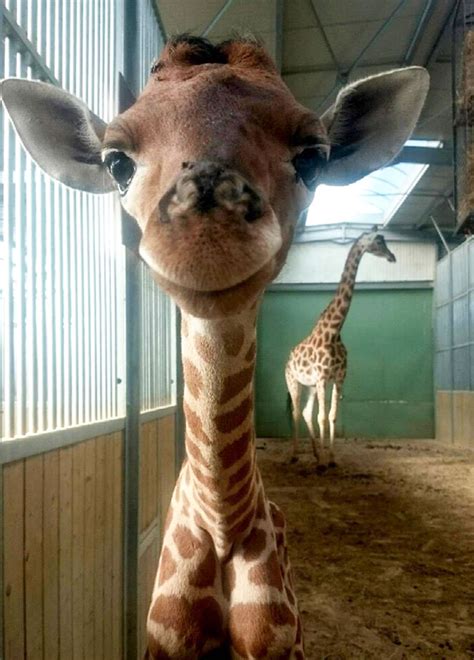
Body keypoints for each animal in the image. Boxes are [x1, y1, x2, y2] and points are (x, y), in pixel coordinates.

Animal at [0, 36, 430, 660]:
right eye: (116, 162)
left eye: (314, 157)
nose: (207, 241)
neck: (225, 526)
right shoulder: (167, 644)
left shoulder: (284, 646)